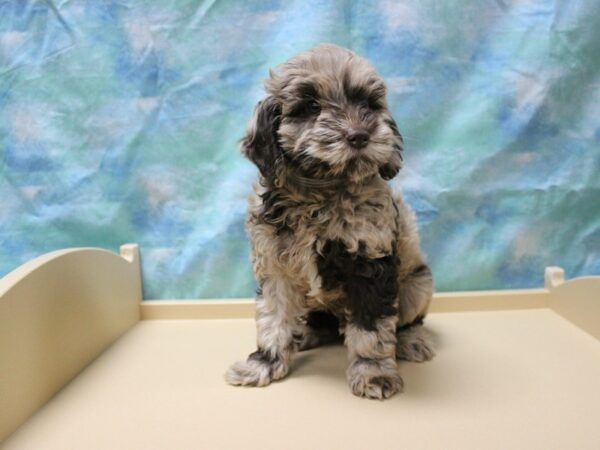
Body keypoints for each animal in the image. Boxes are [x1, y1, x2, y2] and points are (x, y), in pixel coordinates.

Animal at [227, 43, 434, 400]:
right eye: (311, 106)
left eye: (369, 104)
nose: (360, 136)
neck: (320, 192)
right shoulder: (276, 267)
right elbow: (273, 319)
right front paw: (263, 364)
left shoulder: (370, 264)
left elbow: (372, 329)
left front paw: (374, 372)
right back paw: (304, 335)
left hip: (417, 285)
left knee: (406, 320)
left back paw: (410, 341)